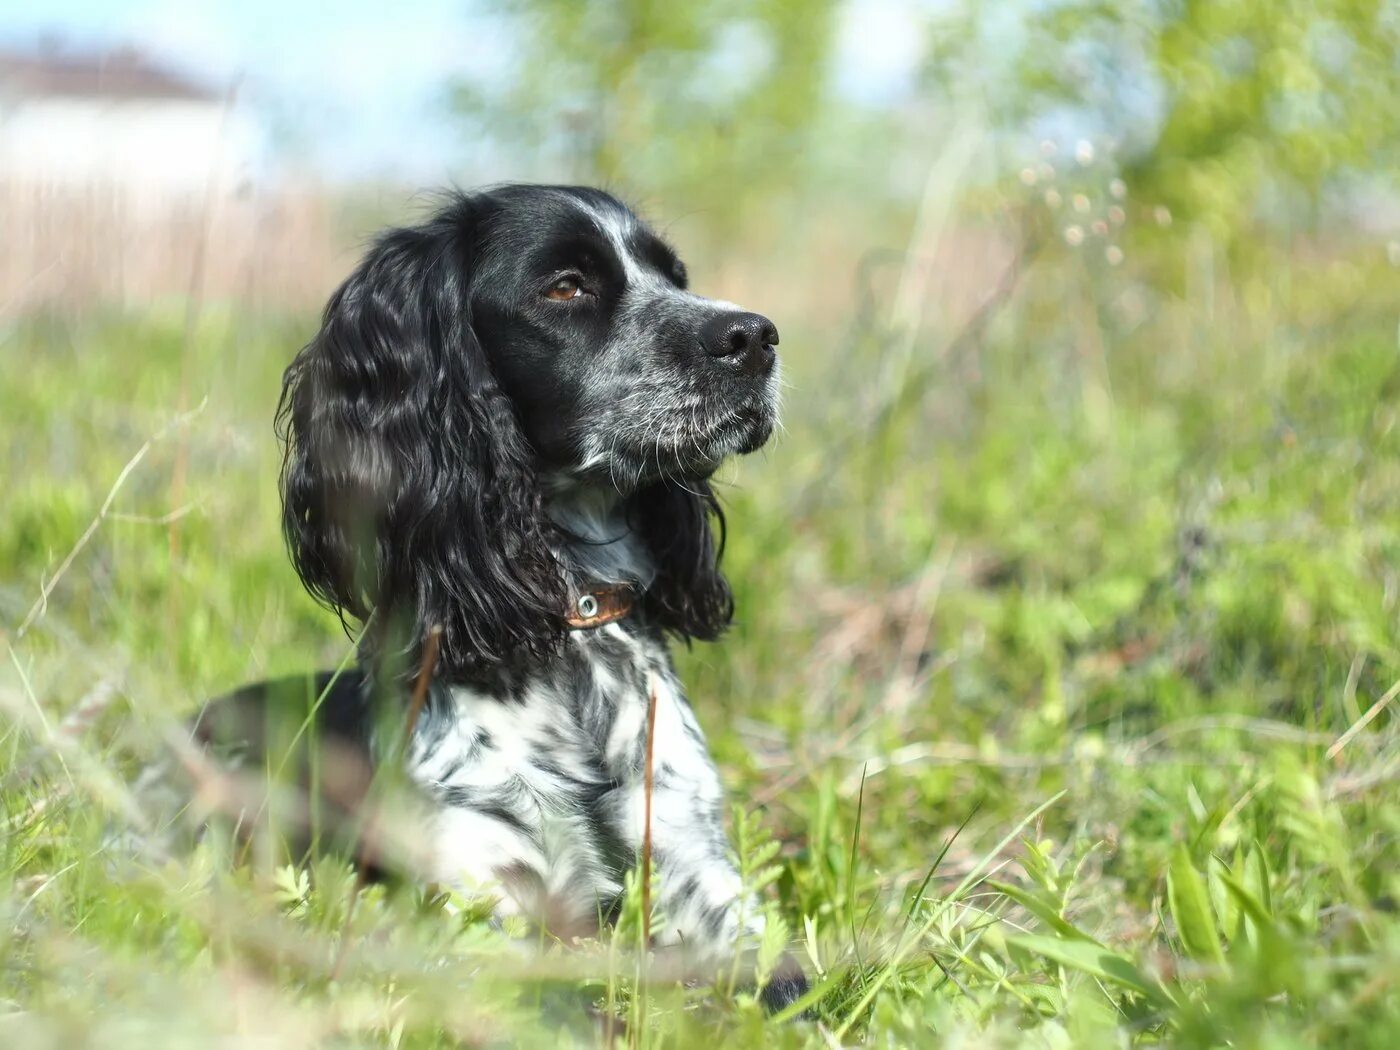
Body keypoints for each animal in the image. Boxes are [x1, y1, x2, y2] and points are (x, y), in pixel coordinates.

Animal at [197, 184, 812, 1013]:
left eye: (674, 276)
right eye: (566, 286)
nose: (754, 337)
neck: (573, 621)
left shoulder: (698, 870)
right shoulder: (484, 904)